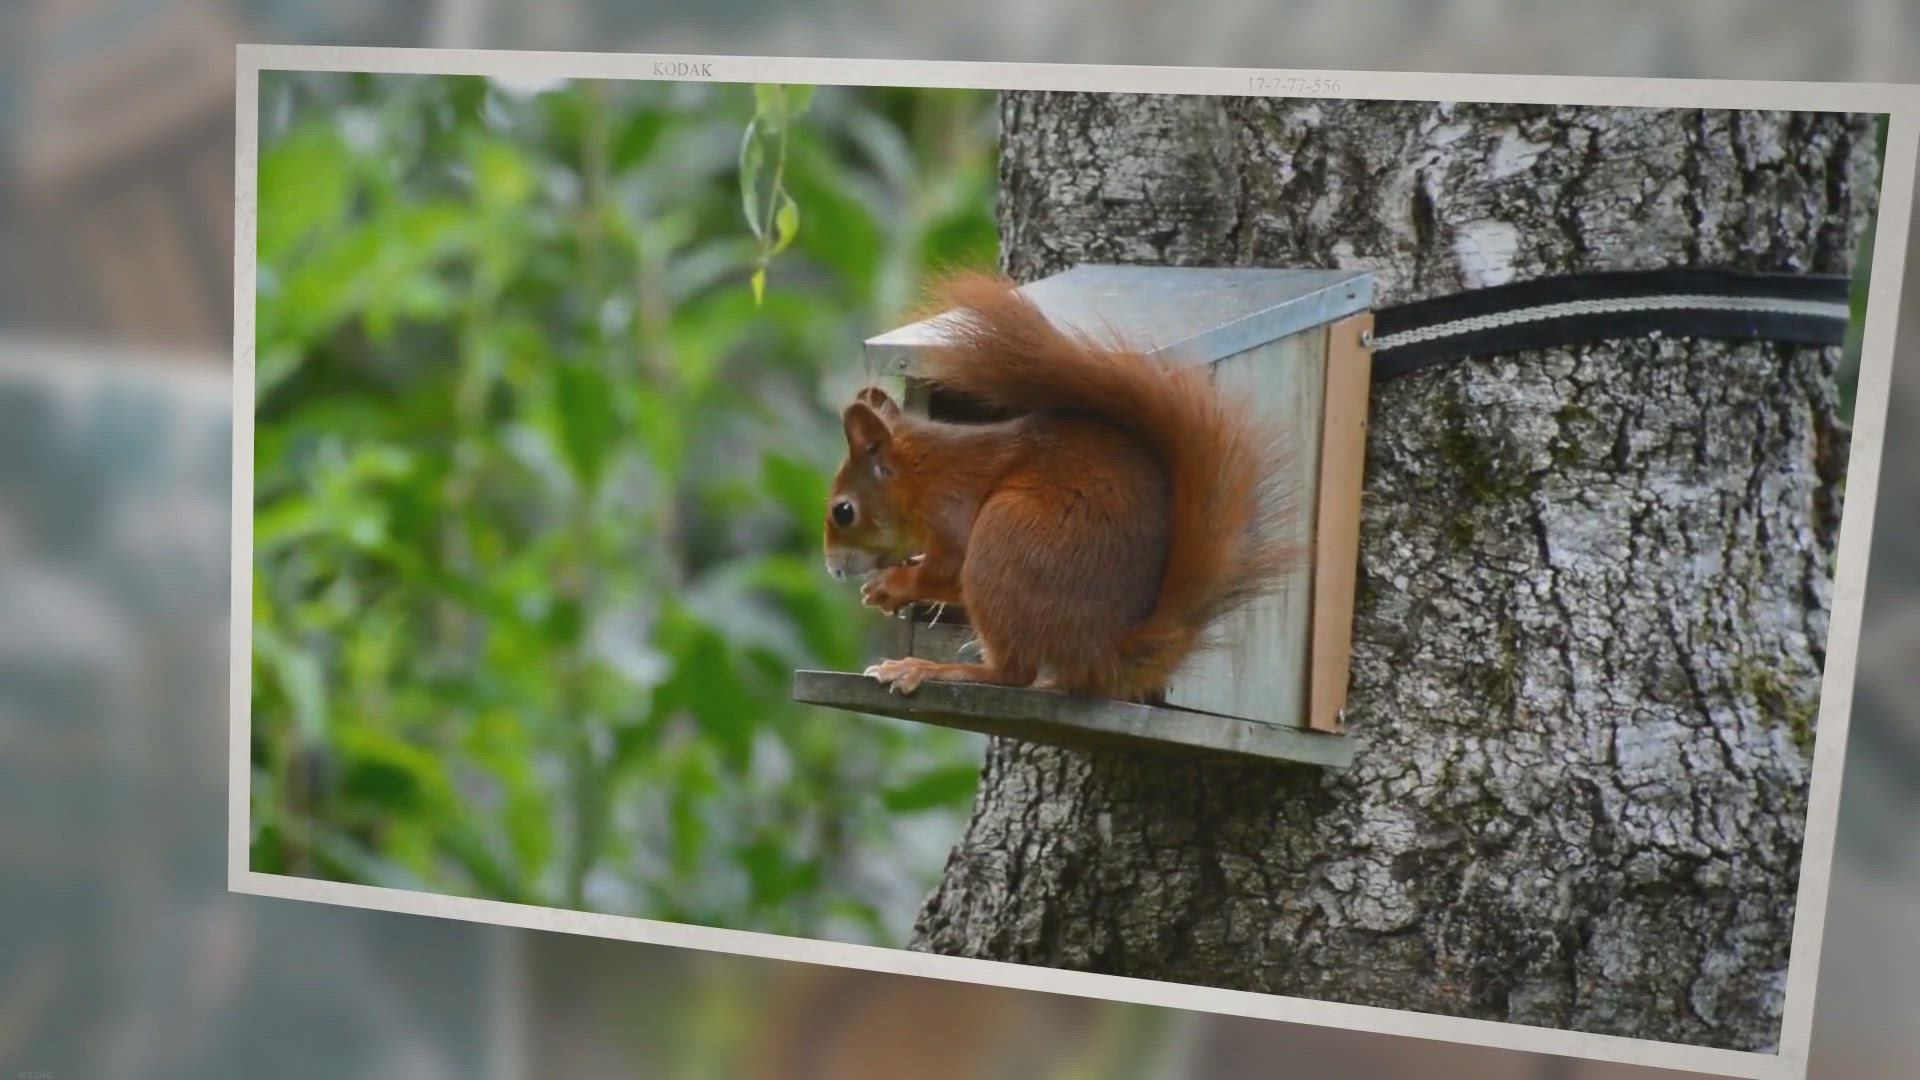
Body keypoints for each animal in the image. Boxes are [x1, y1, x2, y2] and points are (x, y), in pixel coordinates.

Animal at [821, 271, 1295, 702]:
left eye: (843, 511)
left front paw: (892, 586)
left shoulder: (951, 504)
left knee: (1013, 674)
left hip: (1006, 540)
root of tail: (1102, 653)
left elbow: (948, 570)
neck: (923, 474)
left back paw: (929, 668)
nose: (833, 569)